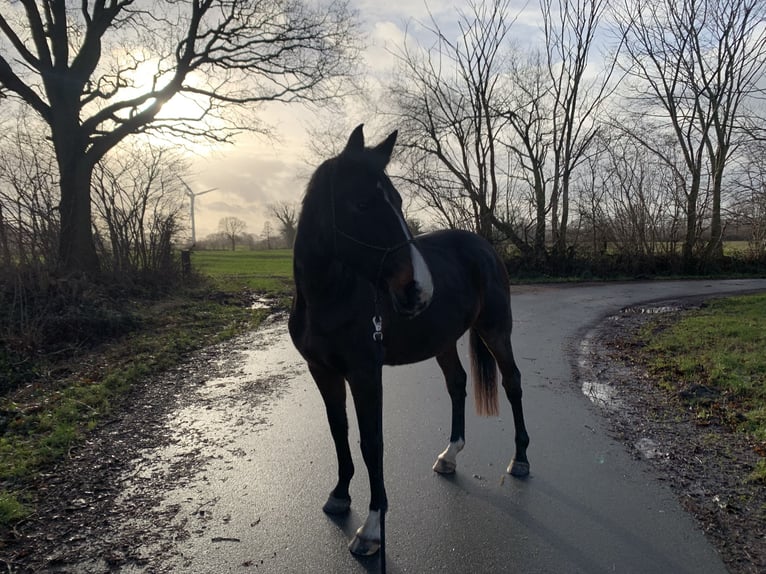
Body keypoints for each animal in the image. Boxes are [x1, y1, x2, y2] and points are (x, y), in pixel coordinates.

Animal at [292, 126, 532, 568]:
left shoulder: (366, 374)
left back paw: (521, 459)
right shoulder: (324, 372)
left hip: (496, 331)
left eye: (399, 201)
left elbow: (372, 443)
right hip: (443, 341)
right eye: (361, 203)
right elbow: (338, 431)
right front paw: (339, 495)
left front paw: (372, 530)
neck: (328, 299)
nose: (419, 289)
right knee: (458, 383)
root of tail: (485, 247)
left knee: (512, 383)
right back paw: (450, 455)